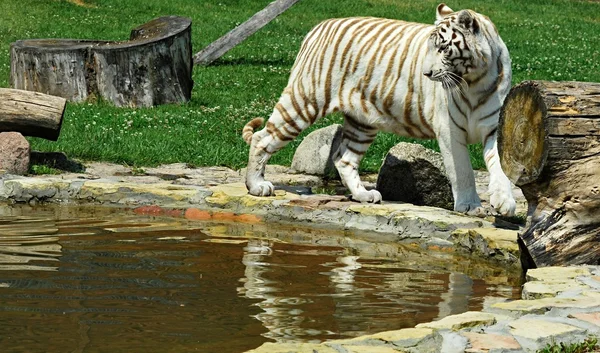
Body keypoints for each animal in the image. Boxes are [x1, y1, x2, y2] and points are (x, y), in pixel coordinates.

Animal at [243, 4, 516, 216]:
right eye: (429, 48)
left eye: (442, 48)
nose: (426, 73)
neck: (475, 80)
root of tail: (318, 27)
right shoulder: (449, 129)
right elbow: (463, 171)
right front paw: (470, 206)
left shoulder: (494, 127)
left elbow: (500, 166)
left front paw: (504, 201)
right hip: (304, 102)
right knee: (261, 138)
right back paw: (257, 186)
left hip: (361, 123)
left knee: (344, 159)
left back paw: (364, 195)